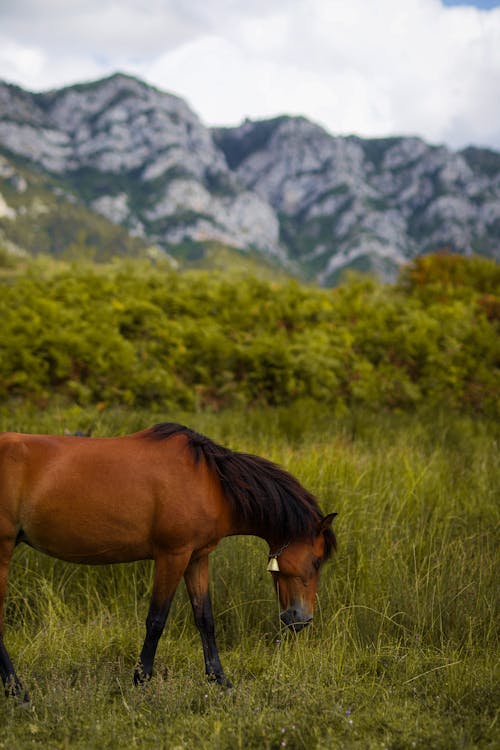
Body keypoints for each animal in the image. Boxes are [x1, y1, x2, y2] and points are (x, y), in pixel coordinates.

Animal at [0, 426, 338, 704]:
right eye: (316, 560)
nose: (300, 620)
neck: (210, 481)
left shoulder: (197, 558)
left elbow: (205, 619)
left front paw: (221, 681)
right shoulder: (172, 556)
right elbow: (156, 620)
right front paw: (141, 681)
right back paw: (19, 693)